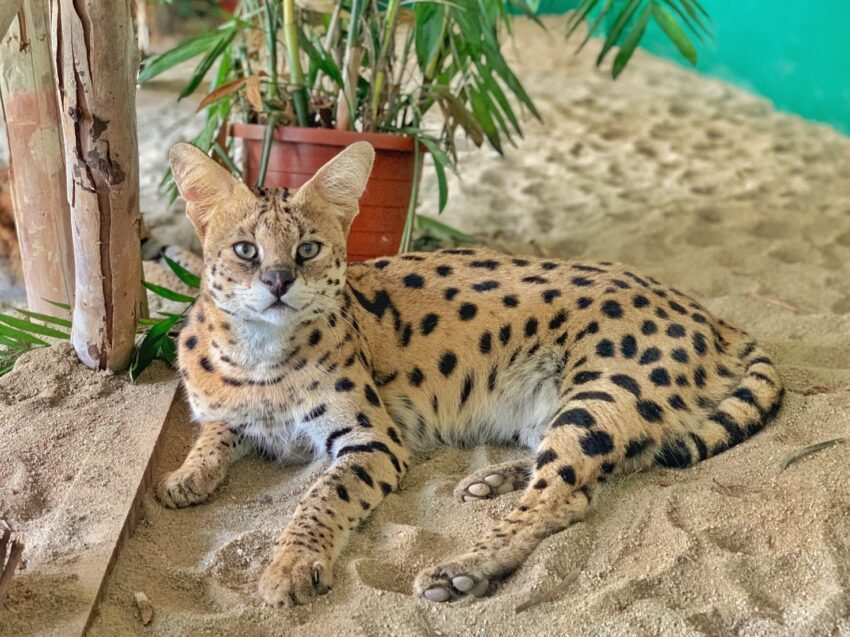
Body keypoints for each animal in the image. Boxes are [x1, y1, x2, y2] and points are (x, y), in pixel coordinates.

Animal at [157, 142, 780, 604]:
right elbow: (214, 432)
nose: (278, 281)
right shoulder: (227, 409)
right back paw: (493, 479)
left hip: (605, 391)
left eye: (308, 249)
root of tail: (710, 315)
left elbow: (320, 498)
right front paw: (188, 475)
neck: (258, 359)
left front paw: (290, 562)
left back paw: (463, 567)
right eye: (245, 250)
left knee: (565, 494)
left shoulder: (372, 439)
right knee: (597, 468)